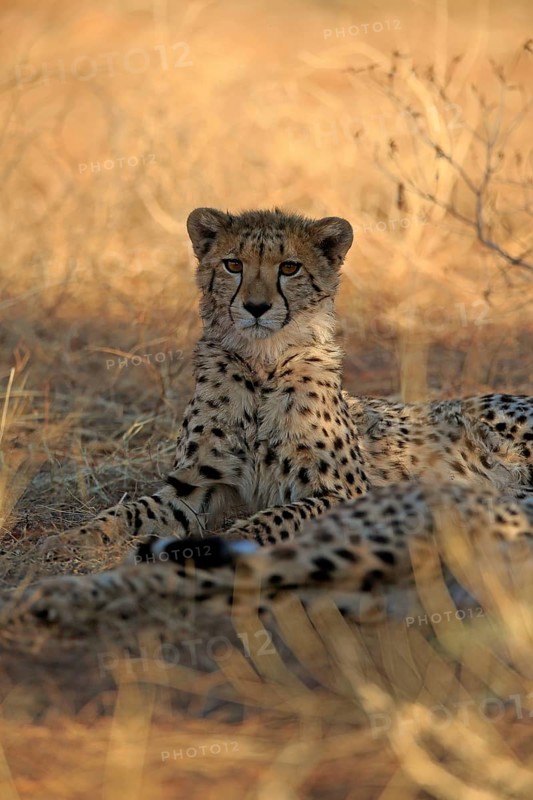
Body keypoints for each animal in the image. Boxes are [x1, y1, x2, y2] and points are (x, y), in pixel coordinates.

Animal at [5, 206, 533, 630]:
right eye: (233, 264)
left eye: (290, 267)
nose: (256, 307)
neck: (262, 365)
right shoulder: (196, 486)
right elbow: (126, 510)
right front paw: (67, 541)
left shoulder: (343, 494)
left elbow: (269, 521)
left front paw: (225, 545)